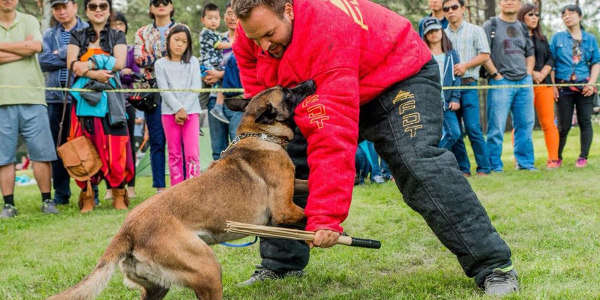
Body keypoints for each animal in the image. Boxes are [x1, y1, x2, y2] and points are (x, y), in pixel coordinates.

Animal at [49, 80, 316, 300]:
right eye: (288, 92)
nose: (311, 81)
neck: (261, 135)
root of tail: (127, 231)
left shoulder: (293, 186)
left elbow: (308, 183)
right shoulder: (284, 210)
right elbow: (305, 215)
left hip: (158, 287)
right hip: (208, 269)